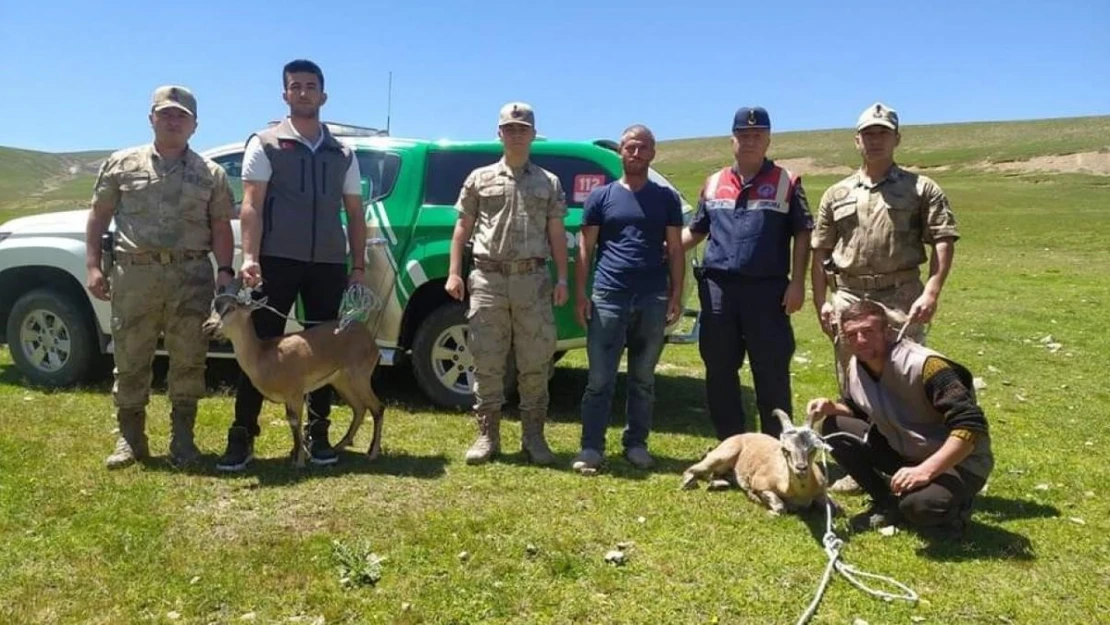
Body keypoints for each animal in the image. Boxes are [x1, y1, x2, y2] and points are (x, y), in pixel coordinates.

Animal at [204, 280, 386, 466]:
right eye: (213, 306)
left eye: (231, 308)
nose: (208, 326)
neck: (263, 356)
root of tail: (370, 340)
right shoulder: (289, 398)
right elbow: (291, 422)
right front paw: (296, 455)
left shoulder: (296, 393)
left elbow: (295, 422)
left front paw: (299, 460)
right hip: (341, 381)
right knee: (360, 408)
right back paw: (338, 447)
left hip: (360, 377)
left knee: (377, 407)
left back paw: (372, 453)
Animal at [674, 408, 834, 515]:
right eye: (785, 449)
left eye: (813, 449)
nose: (801, 468)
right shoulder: (761, 483)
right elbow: (780, 506)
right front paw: (759, 501)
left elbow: (834, 508)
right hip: (724, 454)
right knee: (695, 469)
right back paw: (689, 483)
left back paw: (717, 484)